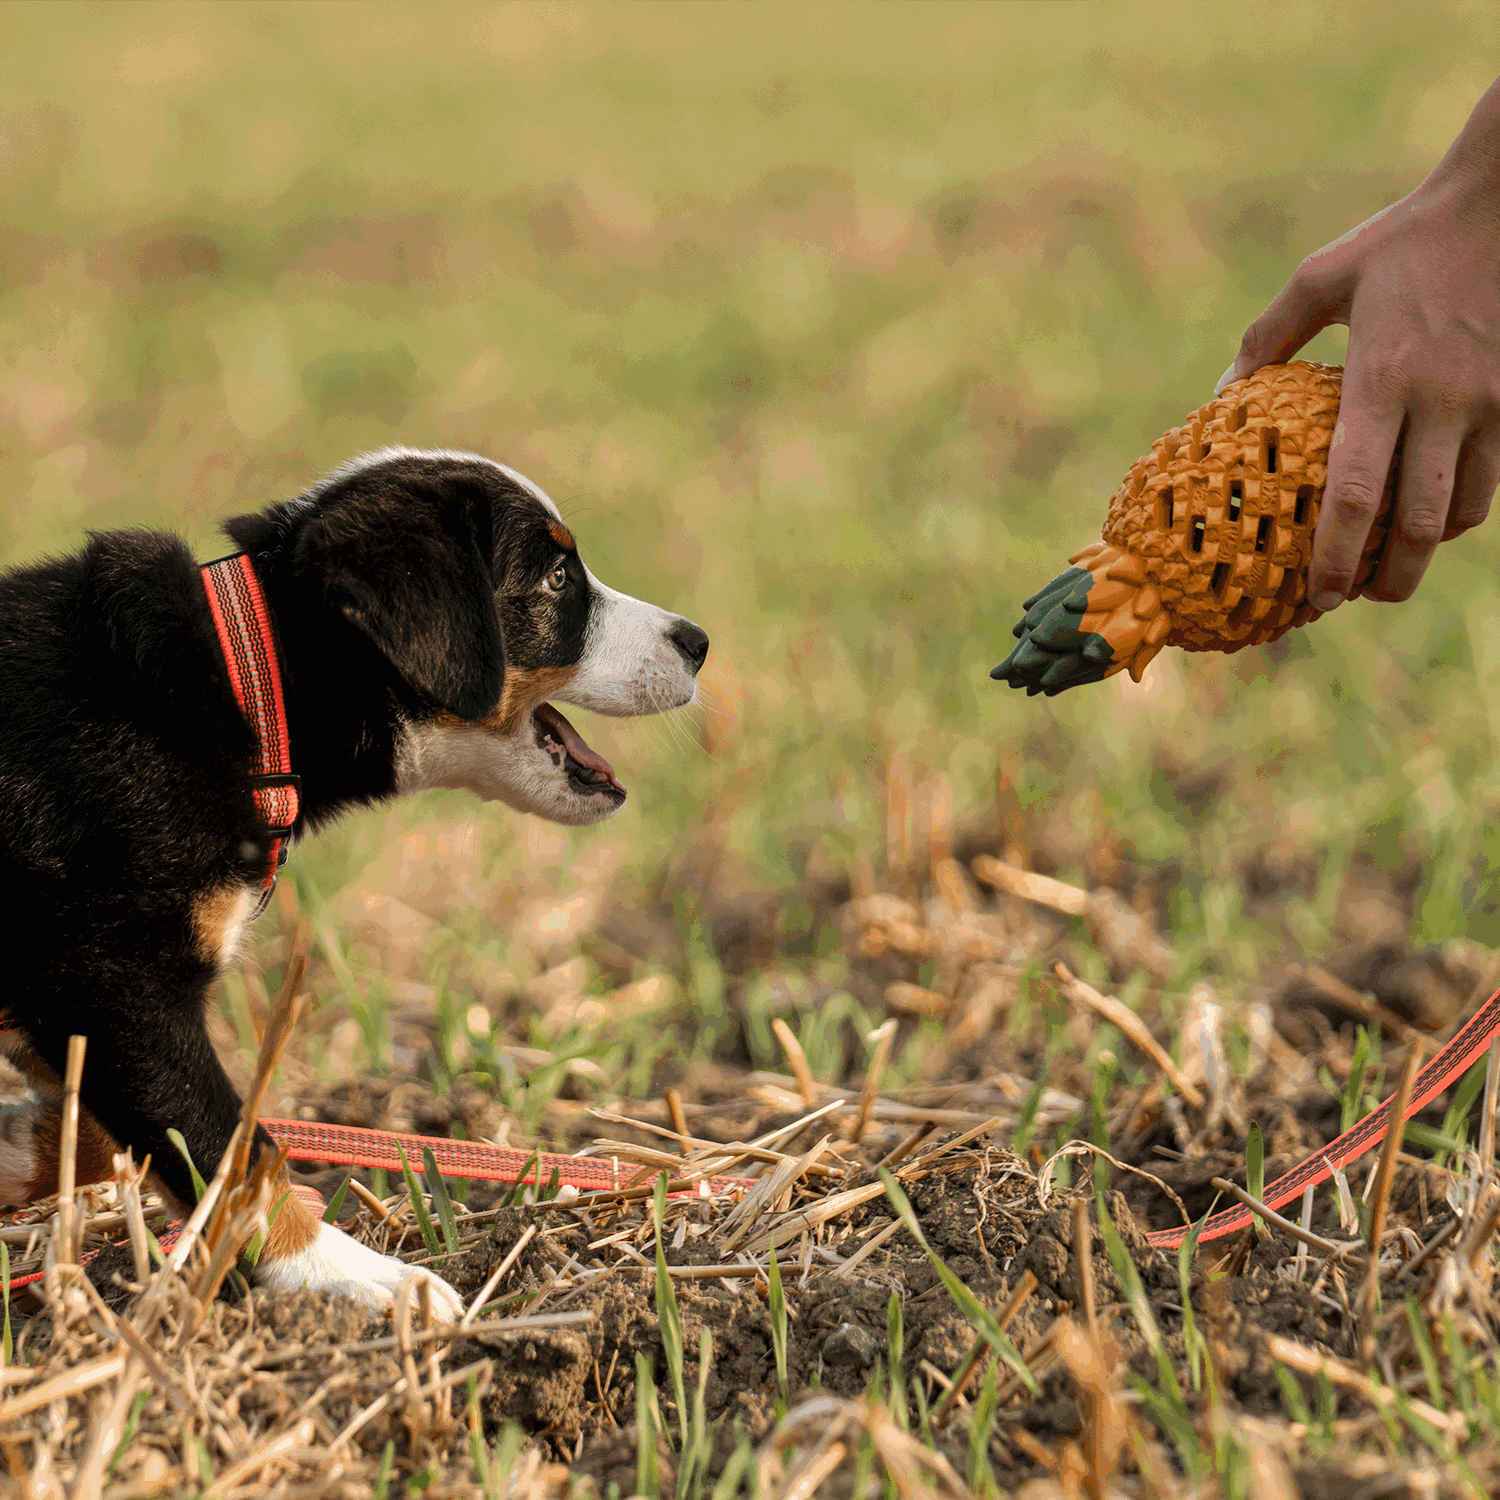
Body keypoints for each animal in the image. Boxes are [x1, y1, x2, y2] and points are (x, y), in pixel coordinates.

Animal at [0, 447, 708, 1314]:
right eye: (555, 579)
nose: (699, 641)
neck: (249, 682)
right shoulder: (114, 984)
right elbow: (232, 1150)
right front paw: (359, 1274)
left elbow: (118, 1137)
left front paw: (16, 1143)